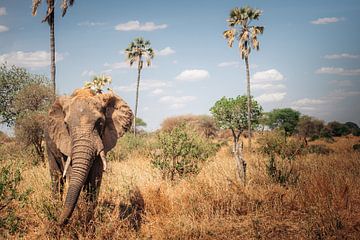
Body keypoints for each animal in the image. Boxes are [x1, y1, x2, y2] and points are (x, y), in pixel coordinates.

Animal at [45, 87, 133, 225]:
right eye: (66, 125)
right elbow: (72, 174)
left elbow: (95, 178)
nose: (57, 223)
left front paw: (88, 222)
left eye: (100, 123)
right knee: (57, 177)